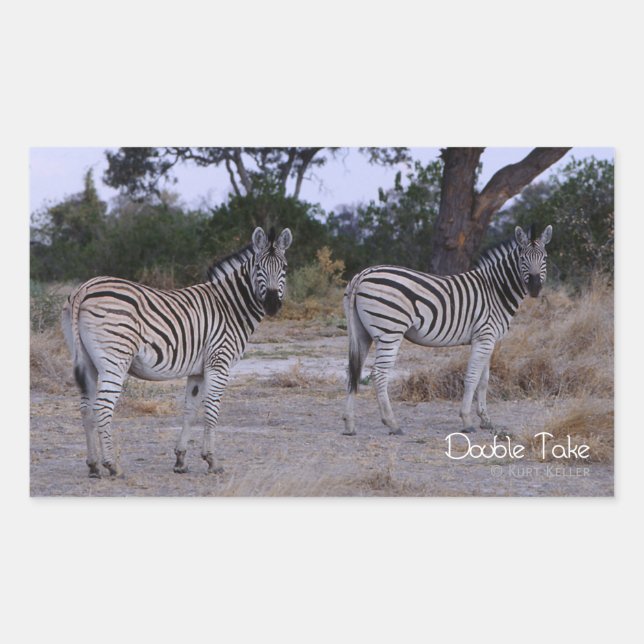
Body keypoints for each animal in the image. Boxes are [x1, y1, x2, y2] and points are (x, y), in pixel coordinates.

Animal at [61, 227, 293, 477]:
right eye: (259, 267)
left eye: (284, 268)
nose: (272, 304)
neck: (230, 307)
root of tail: (85, 287)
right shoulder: (219, 361)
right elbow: (212, 409)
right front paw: (212, 461)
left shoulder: (198, 370)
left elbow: (190, 409)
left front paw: (181, 460)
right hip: (115, 360)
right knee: (102, 408)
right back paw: (112, 466)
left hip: (87, 361)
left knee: (86, 409)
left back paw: (93, 465)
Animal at [342, 224, 553, 436]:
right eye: (522, 258)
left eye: (544, 258)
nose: (535, 288)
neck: (495, 290)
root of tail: (362, 275)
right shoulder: (484, 337)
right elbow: (472, 378)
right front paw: (467, 420)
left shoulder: (488, 340)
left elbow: (484, 380)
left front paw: (486, 420)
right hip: (390, 332)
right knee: (379, 374)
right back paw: (392, 423)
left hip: (361, 334)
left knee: (354, 371)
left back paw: (350, 424)